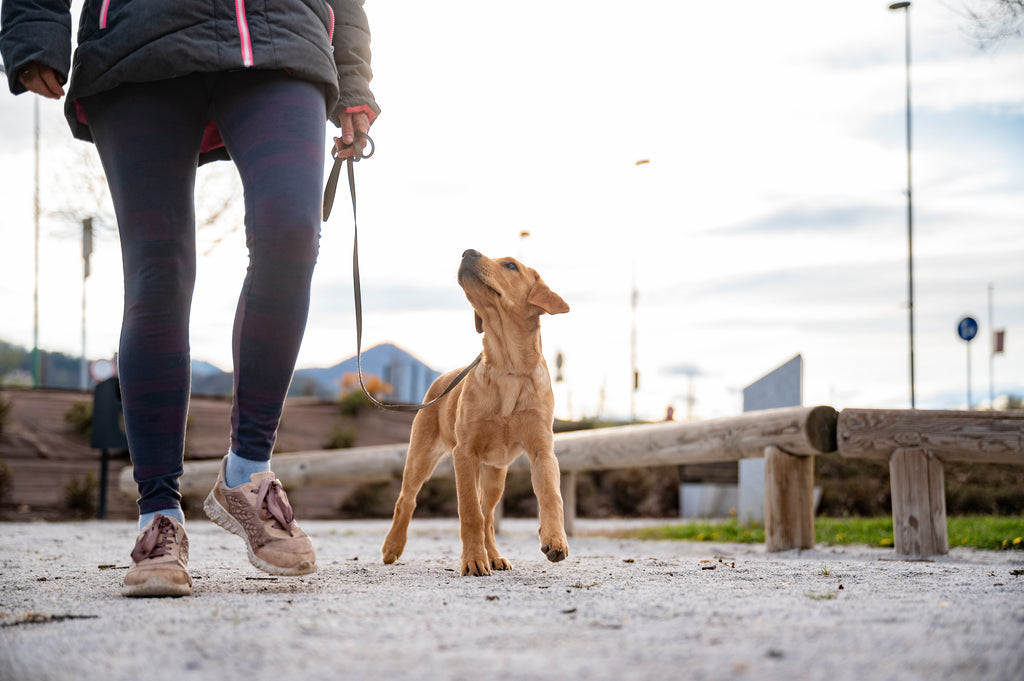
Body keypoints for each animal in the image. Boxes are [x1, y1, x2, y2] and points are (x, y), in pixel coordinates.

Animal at [385, 248, 573, 573]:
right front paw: (473, 560)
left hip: (495, 473)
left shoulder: (542, 451)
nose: (467, 251)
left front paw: (555, 540)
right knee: (406, 500)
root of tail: (440, 379)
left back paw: (495, 556)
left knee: (489, 518)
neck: (508, 368)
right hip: (422, 456)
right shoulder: (464, 453)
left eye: (510, 265)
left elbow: (551, 496)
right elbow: (469, 512)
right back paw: (392, 547)